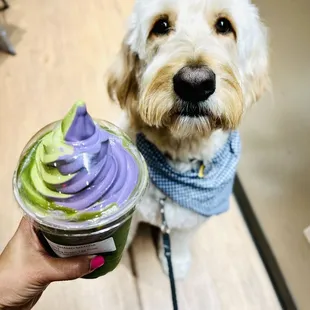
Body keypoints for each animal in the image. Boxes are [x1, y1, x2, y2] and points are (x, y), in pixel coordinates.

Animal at [108, 0, 268, 278]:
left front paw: (177, 263)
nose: (195, 83)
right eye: (160, 25)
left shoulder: (189, 221)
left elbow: (180, 241)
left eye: (224, 25)